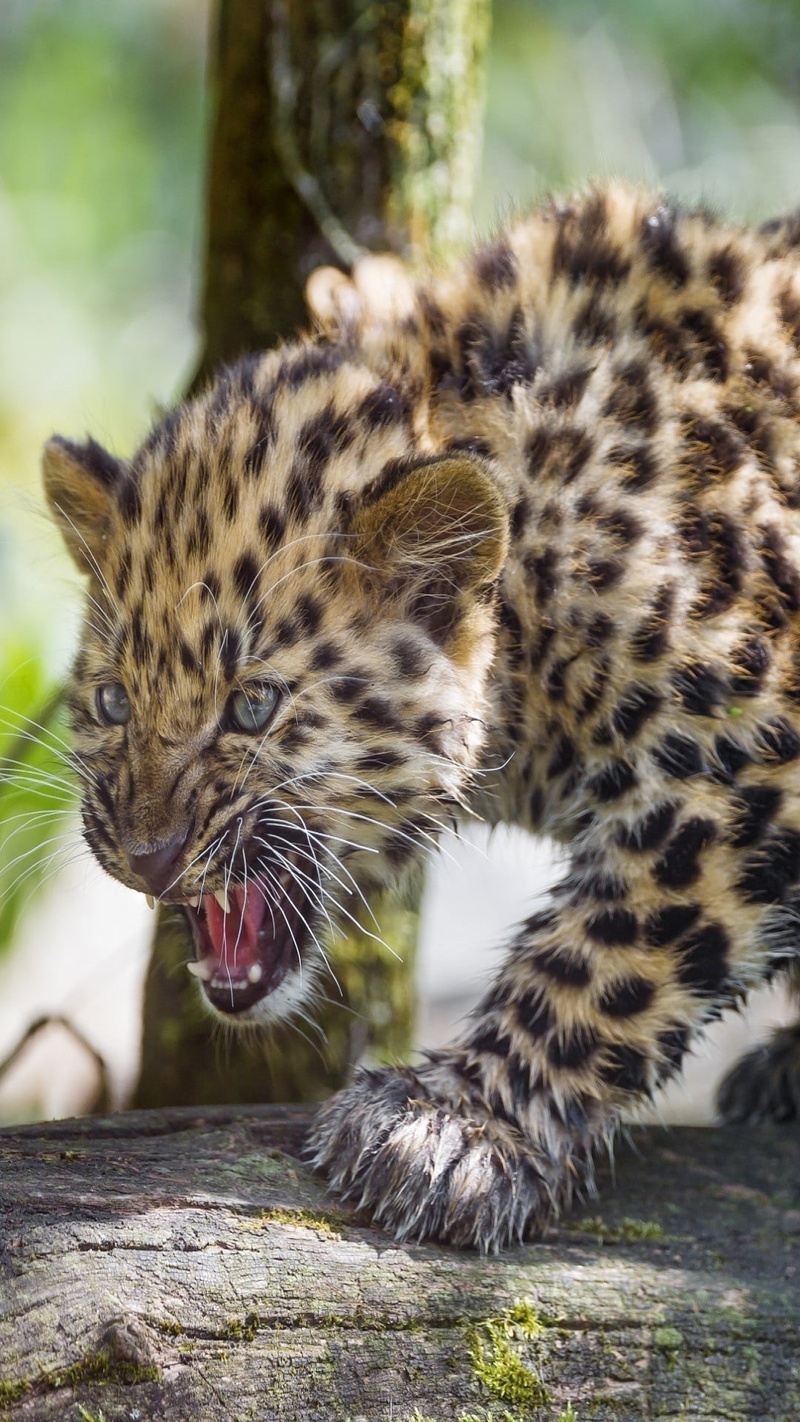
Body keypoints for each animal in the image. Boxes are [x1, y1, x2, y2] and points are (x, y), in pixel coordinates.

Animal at [42, 180, 800, 1252]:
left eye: (253, 704)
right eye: (112, 700)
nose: (144, 858)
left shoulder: (748, 759)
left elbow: (609, 953)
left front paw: (452, 1127)